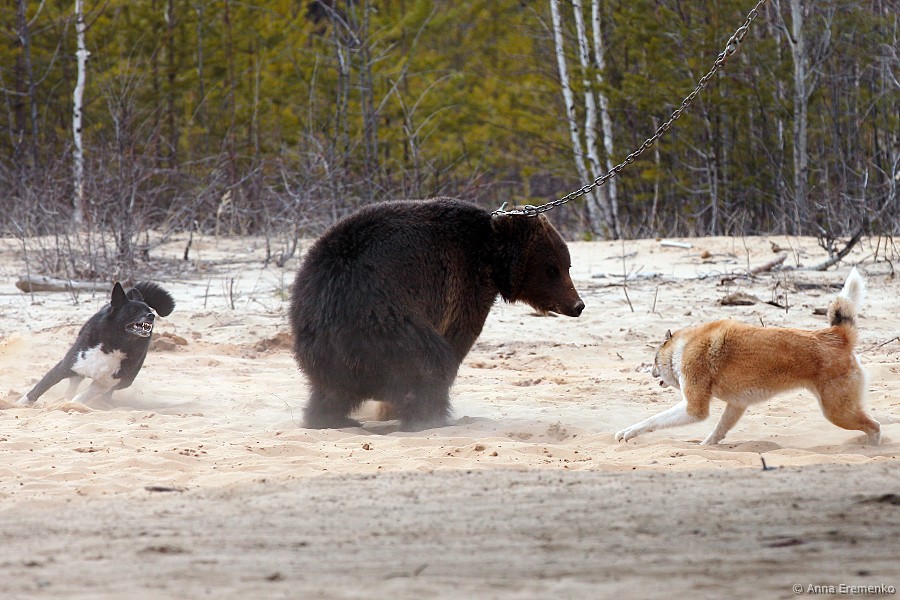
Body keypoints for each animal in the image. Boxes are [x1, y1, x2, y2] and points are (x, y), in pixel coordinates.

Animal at [18, 281, 175, 406]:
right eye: (134, 310)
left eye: (149, 310)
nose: (151, 316)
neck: (114, 344)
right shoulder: (66, 365)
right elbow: (39, 388)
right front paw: (19, 404)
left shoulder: (106, 382)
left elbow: (84, 395)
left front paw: (73, 404)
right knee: (74, 382)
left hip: (126, 381)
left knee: (104, 393)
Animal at [289, 197, 584, 431]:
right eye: (553, 268)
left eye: (567, 265)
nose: (577, 305)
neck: (491, 255)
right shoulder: (464, 284)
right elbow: (458, 337)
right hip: (387, 325)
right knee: (430, 363)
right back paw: (431, 416)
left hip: (320, 345)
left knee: (328, 391)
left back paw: (332, 419)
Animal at [615, 268, 880, 445]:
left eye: (653, 361)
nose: (650, 373)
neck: (682, 347)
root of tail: (837, 335)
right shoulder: (736, 405)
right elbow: (718, 431)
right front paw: (707, 446)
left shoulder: (694, 408)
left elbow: (653, 420)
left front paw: (628, 431)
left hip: (837, 412)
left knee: (875, 427)